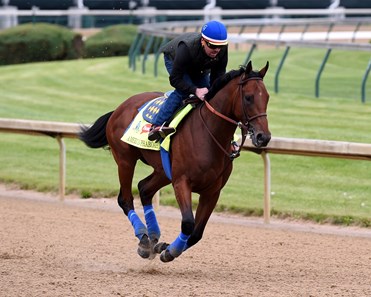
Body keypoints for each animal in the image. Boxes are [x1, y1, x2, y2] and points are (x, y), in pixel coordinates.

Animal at [80, 59, 270, 262]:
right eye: (249, 97)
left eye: (267, 98)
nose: (264, 137)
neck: (208, 134)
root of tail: (119, 108)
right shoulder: (181, 181)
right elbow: (188, 223)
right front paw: (169, 251)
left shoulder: (212, 191)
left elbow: (196, 233)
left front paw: (164, 247)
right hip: (125, 161)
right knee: (125, 199)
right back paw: (144, 239)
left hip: (163, 171)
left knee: (144, 189)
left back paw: (153, 237)